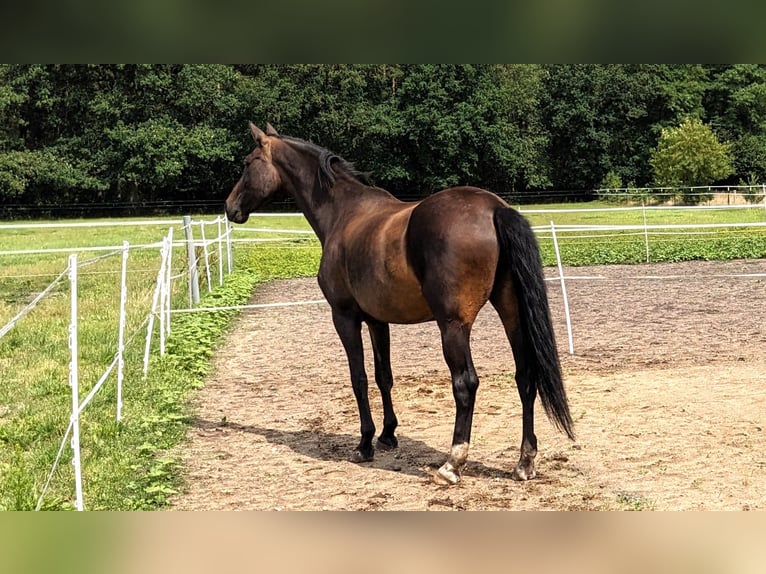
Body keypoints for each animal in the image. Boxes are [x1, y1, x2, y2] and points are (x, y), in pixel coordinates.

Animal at [225, 122, 572, 486]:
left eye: (248, 163)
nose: (229, 207)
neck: (343, 213)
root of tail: (494, 209)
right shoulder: (378, 320)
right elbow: (384, 376)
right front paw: (388, 435)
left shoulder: (344, 317)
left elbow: (359, 378)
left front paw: (364, 443)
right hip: (511, 313)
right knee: (525, 376)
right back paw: (525, 462)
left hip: (453, 326)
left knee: (465, 384)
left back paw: (452, 464)